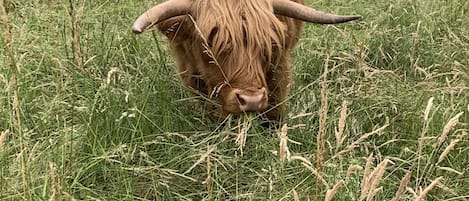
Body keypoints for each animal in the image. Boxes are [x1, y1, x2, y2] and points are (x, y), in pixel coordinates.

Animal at [133, 0, 360, 121]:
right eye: (210, 43)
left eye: (269, 42)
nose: (251, 100)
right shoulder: (190, 68)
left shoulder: (280, 65)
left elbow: (274, 107)